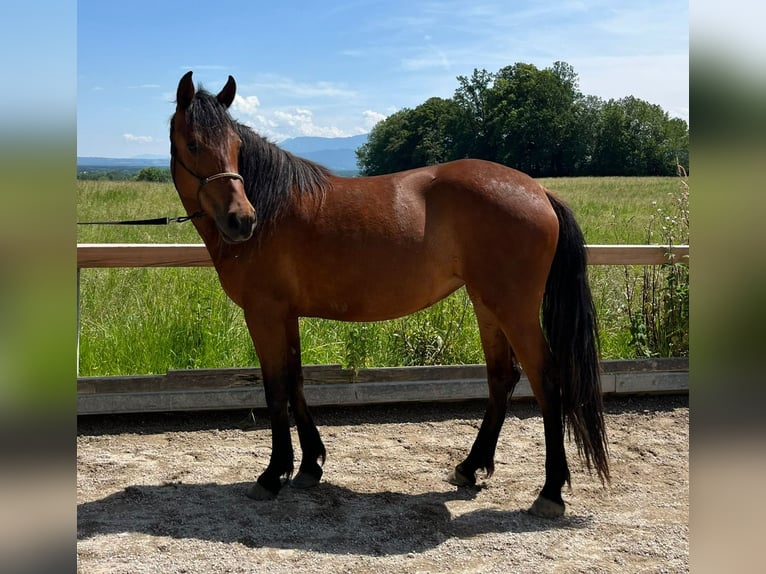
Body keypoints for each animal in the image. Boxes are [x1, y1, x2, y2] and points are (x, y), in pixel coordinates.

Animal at [171, 71, 608, 516]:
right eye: (193, 144)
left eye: (236, 147)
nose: (242, 220)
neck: (273, 206)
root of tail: (539, 192)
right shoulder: (285, 315)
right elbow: (295, 381)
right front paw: (310, 465)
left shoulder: (264, 314)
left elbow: (276, 388)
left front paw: (273, 474)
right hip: (488, 305)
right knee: (502, 377)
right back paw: (469, 467)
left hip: (514, 310)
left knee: (546, 379)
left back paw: (550, 491)